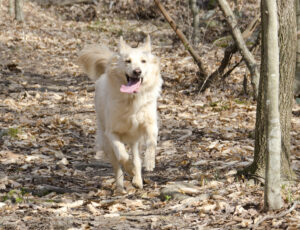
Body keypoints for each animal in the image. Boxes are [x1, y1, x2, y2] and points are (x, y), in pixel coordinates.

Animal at [77, 35, 162, 194]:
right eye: (127, 61)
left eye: (143, 61)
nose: (137, 71)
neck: (132, 99)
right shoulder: (111, 133)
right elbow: (122, 156)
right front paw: (129, 169)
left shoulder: (150, 124)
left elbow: (151, 142)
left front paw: (149, 162)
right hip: (106, 141)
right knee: (117, 165)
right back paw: (121, 187)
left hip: (135, 140)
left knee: (136, 158)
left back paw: (138, 180)